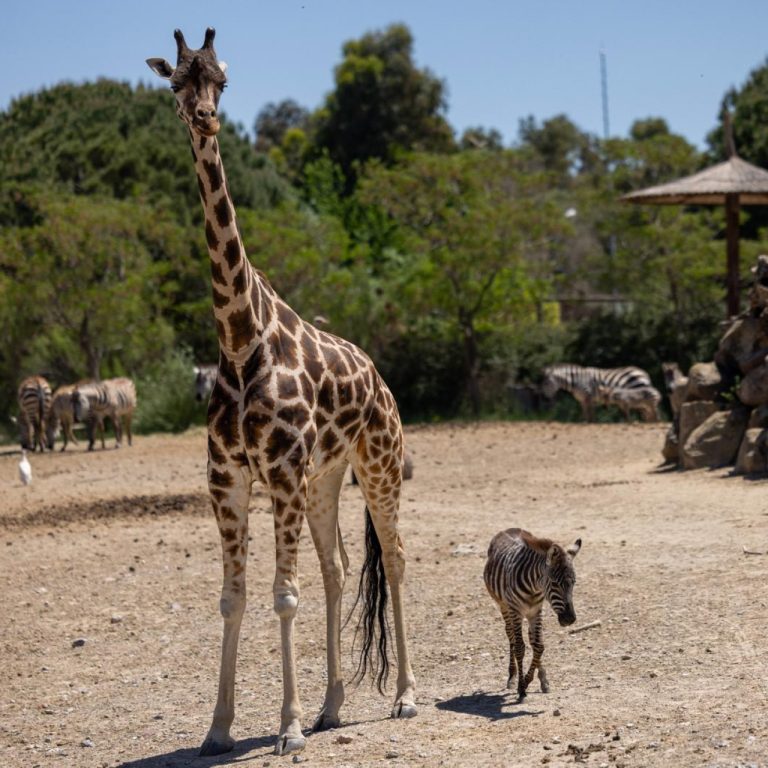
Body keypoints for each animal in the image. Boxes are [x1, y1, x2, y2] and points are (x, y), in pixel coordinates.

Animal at [484, 528, 581, 699]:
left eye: (574, 582)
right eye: (554, 583)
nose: (570, 619)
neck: (534, 587)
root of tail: (508, 529)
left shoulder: (536, 611)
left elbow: (539, 646)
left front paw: (532, 680)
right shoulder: (515, 611)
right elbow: (519, 647)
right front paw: (521, 687)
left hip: (528, 614)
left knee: (531, 639)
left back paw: (541, 679)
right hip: (504, 606)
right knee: (510, 635)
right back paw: (512, 676)